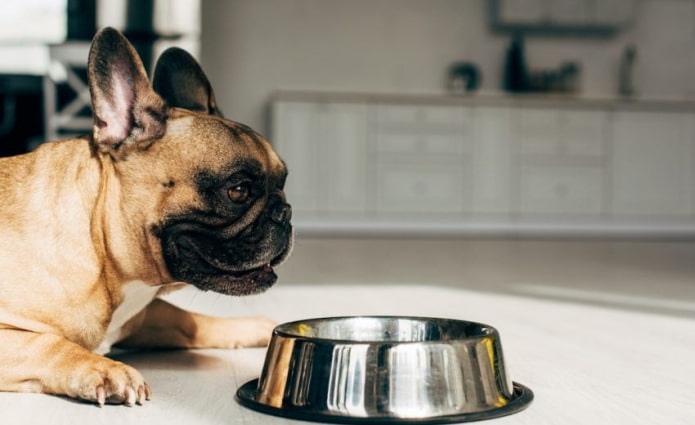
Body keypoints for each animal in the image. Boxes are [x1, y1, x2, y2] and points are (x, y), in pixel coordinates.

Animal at [0, 28, 292, 406]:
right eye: (238, 190)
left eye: (283, 183)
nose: (284, 213)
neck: (100, 248)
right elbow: (48, 343)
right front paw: (106, 370)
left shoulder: (140, 316)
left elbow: (190, 321)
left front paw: (253, 326)